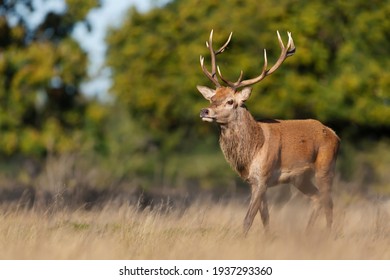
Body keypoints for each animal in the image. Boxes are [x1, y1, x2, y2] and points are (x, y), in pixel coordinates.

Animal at [197, 29, 340, 235]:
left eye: (230, 101)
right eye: (212, 98)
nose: (204, 111)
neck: (253, 150)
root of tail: (334, 134)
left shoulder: (264, 177)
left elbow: (248, 220)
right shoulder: (253, 181)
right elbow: (265, 217)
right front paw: (268, 237)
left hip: (326, 165)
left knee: (329, 202)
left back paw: (328, 234)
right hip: (300, 178)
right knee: (317, 198)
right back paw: (307, 233)